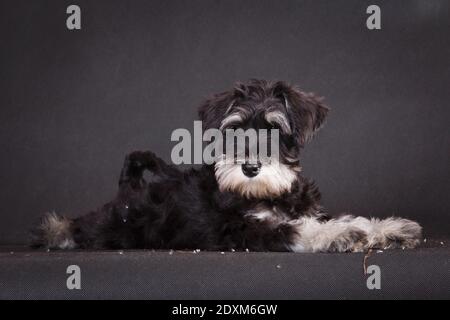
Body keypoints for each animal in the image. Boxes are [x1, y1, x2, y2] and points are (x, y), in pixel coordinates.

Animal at [31, 79, 422, 252]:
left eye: (275, 130)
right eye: (234, 130)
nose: (250, 168)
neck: (271, 194)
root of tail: (130, 190)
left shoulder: (307, 209)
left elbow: (338, 217)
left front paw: (388, 228)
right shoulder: (241, 230)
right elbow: (299, 231)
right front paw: (343, 235)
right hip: (114, 224)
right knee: (78, 226)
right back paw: (56, 231)